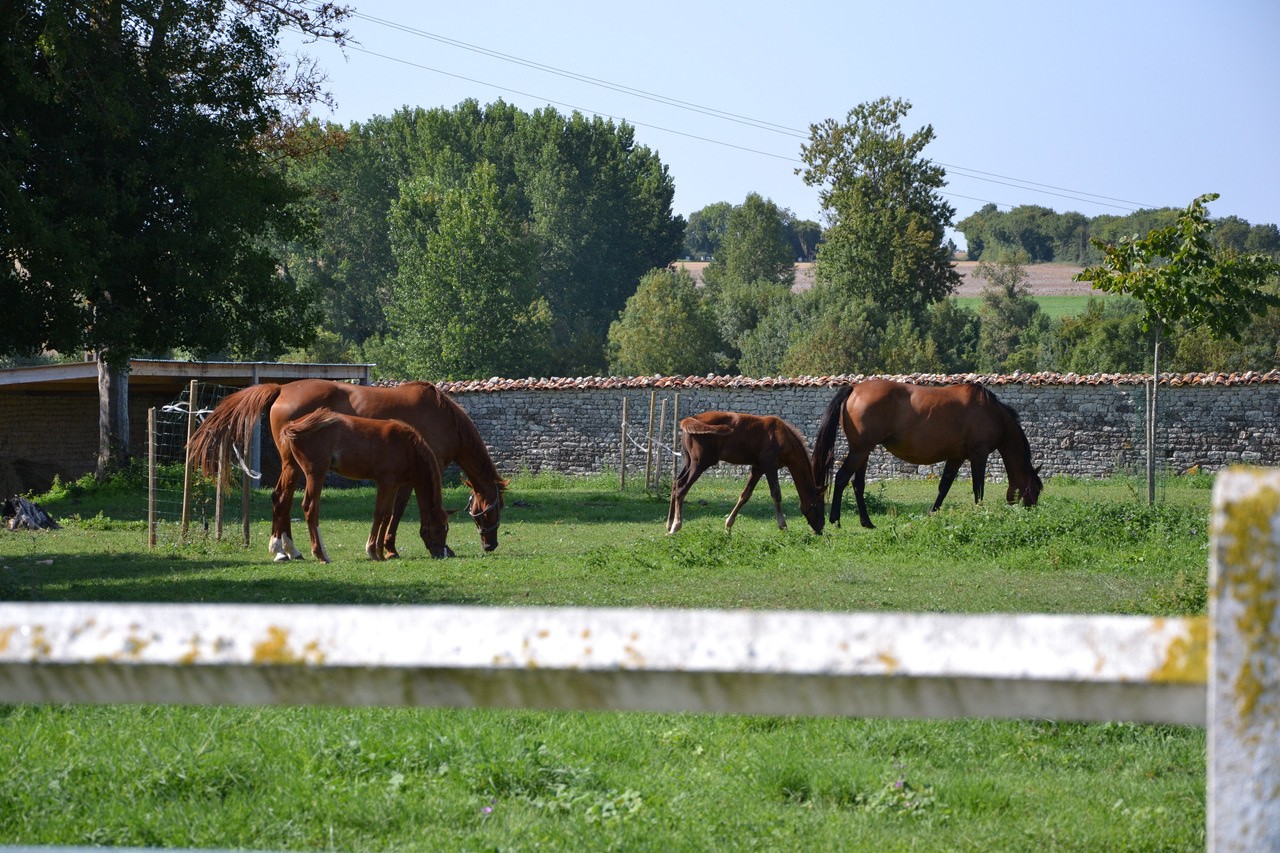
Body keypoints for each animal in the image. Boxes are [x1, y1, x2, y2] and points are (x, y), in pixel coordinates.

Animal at [277, 409, 453, 560]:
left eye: (447, 529)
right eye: (437, 529)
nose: (441, 554)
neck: (407, 446)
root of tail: (294, 424)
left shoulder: (393, 485)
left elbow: (387, 514)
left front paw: (381, 553)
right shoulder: (385, 482)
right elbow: (379, 514)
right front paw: (372, 550)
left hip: (293, 468)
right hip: (316, 474)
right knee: (310, 507)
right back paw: (320, 554)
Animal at [665, 409, 824, 532]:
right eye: (816, 505)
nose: (820, 528)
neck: (781, 436)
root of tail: (690, 419)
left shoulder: (758, 468)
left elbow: (745, 495)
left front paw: (728, 525)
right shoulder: (769, 466)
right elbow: (776, 493)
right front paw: (783, 526)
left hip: (688, 461)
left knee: (675, 483)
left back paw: (668, 524)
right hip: (700, 463)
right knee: (681, 487)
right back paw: (676, 526)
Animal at [814, 376, 1044, 525]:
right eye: (1035, 489)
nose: (1032, 512)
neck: (992, 412)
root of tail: (854, 388)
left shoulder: (956, 458)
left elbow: (944, 487)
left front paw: (932, 513)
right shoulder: (979, 454)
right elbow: (978, 488)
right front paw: (980, 514)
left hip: (863, 452)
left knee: (857, 484)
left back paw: (867, 522)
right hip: (859, 451)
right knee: (842, 478)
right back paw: (835, 520)